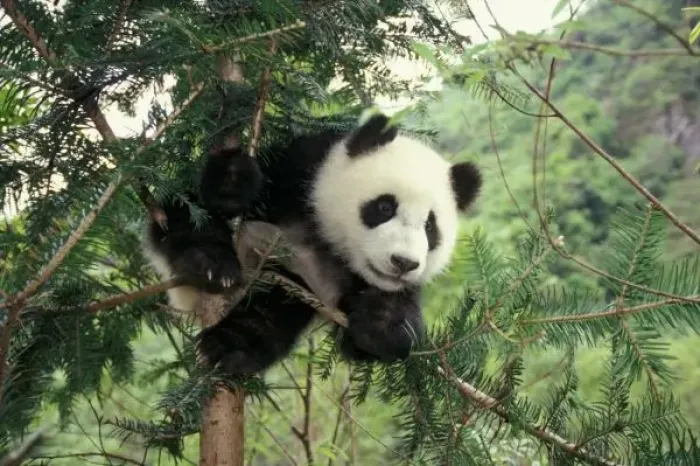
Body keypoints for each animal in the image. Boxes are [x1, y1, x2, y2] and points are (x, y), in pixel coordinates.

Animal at [143, 112, 481, 376]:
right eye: (385, 207)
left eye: (430, 227)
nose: (403, 263)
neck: (328, 240)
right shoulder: (300, 173)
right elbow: (206, 199)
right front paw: (233, 183)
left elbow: (378, 332)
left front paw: (381, 322)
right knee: (185, 215)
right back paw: (209, 267)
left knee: (273, 309)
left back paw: (230, 346)